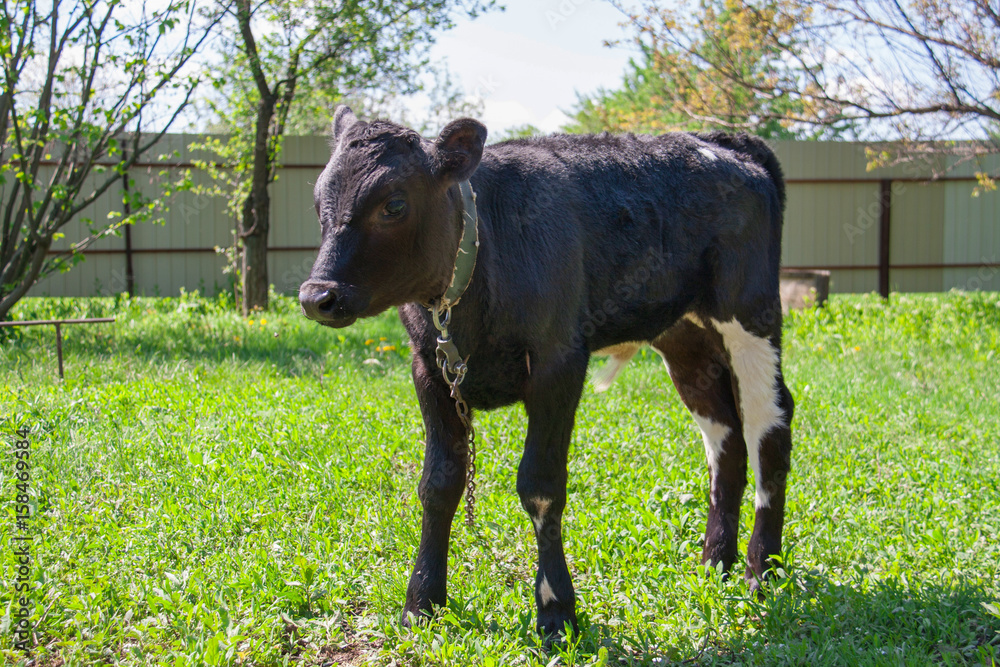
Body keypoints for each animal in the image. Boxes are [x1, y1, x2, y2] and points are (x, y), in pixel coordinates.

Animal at [299, 105, 794, 638]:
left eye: (394, 204)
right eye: (318, 200)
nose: (317, 296)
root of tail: (720, 141)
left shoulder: (559, 362)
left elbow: (540, 485)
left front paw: (557, 610)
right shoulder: (428, 370)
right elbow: (438, 483)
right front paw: (422, 602)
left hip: (751, 314)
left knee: (770, 425)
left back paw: (761, 570)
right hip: (683, 335)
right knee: (724, 434)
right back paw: (714, 561)